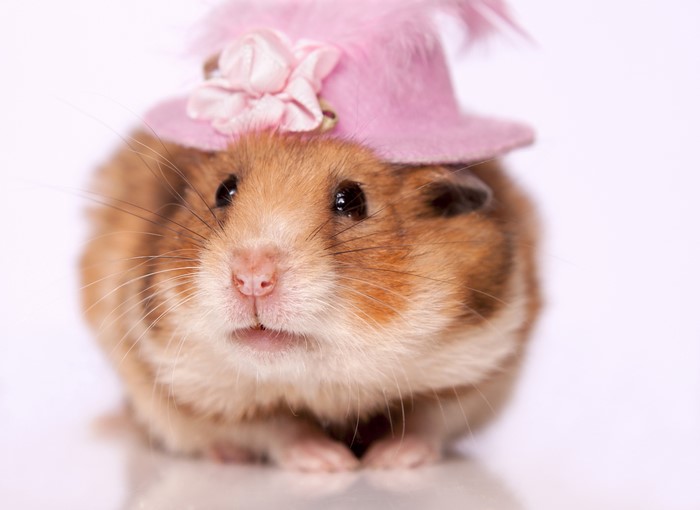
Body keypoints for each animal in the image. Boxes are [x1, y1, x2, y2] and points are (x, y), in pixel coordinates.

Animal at [80, 131, 540, 471]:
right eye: (224, 190)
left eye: (352, 200)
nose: (252, 278)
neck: (320, 379)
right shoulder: (187, 384)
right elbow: (276, 425)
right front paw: (332, 463)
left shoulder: (480, 364)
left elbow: (426, 420)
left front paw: (386, 461)